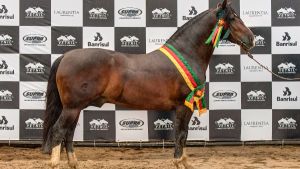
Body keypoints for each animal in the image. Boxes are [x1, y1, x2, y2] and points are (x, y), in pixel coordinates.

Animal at [41, 0, 253, 168]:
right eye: (233, 17)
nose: (252, 38)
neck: (187, 53)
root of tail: (66, 56)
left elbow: (182, 135)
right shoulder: (183, 106)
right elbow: (181, 134)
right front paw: (179, 162)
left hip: (74, 108)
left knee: (68, 133)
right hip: (72, 108)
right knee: (58, 131)